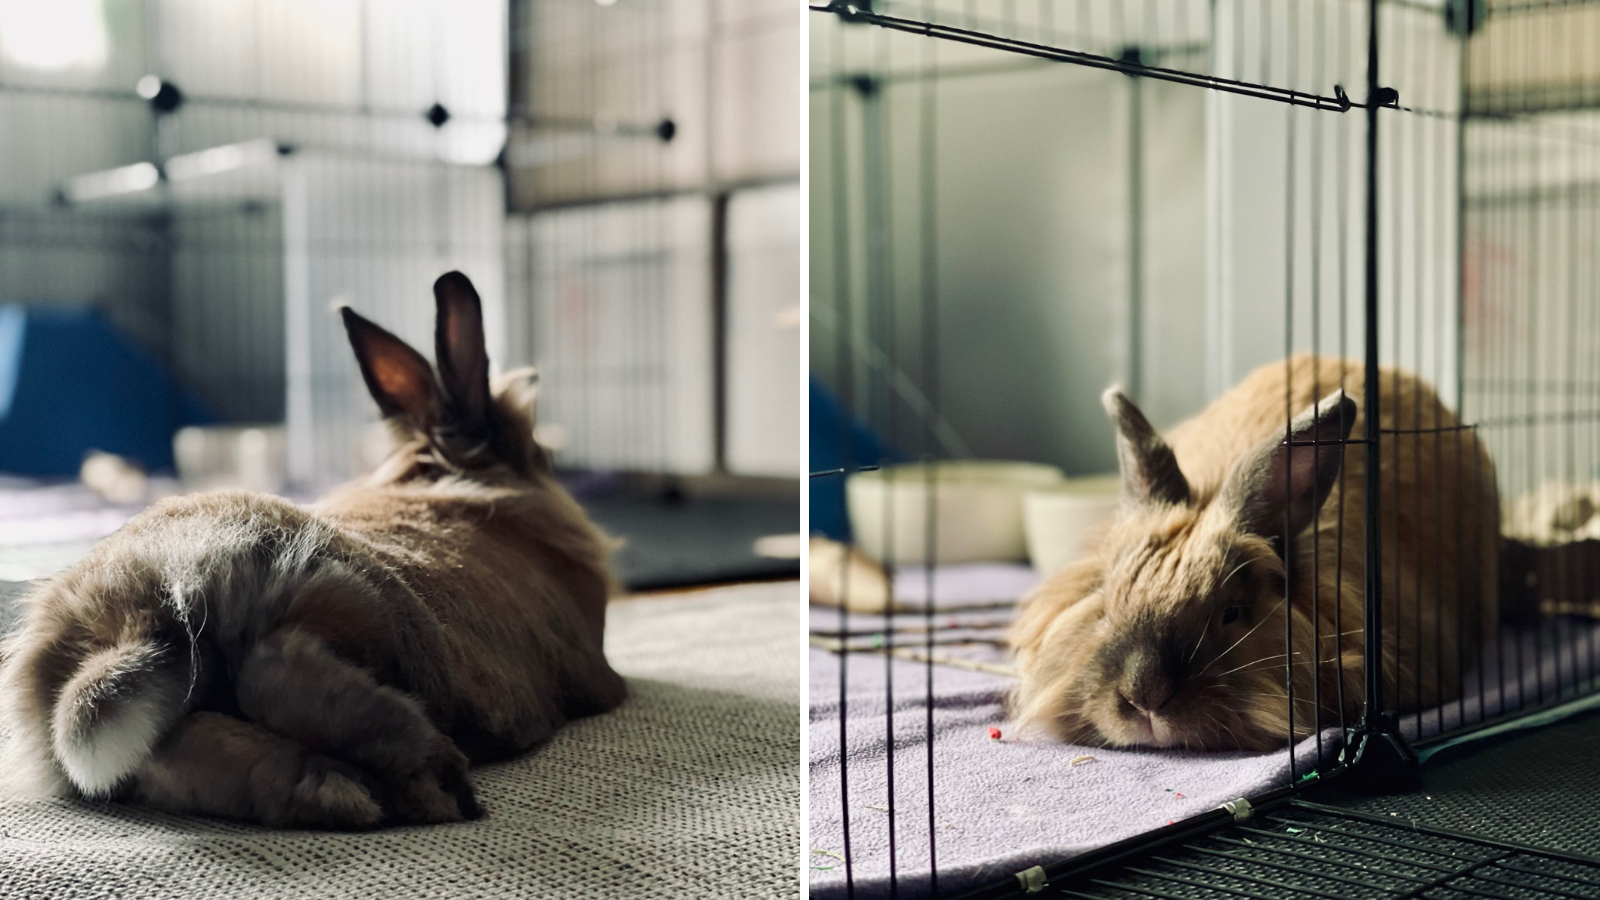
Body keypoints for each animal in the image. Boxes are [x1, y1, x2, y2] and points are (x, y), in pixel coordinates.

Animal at [0, 271, 627, 828]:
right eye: (538, 454)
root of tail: (136, 616)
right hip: (363, 609)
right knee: (278, 670)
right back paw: (435, 785)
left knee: (192, 752)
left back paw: (337, 791)